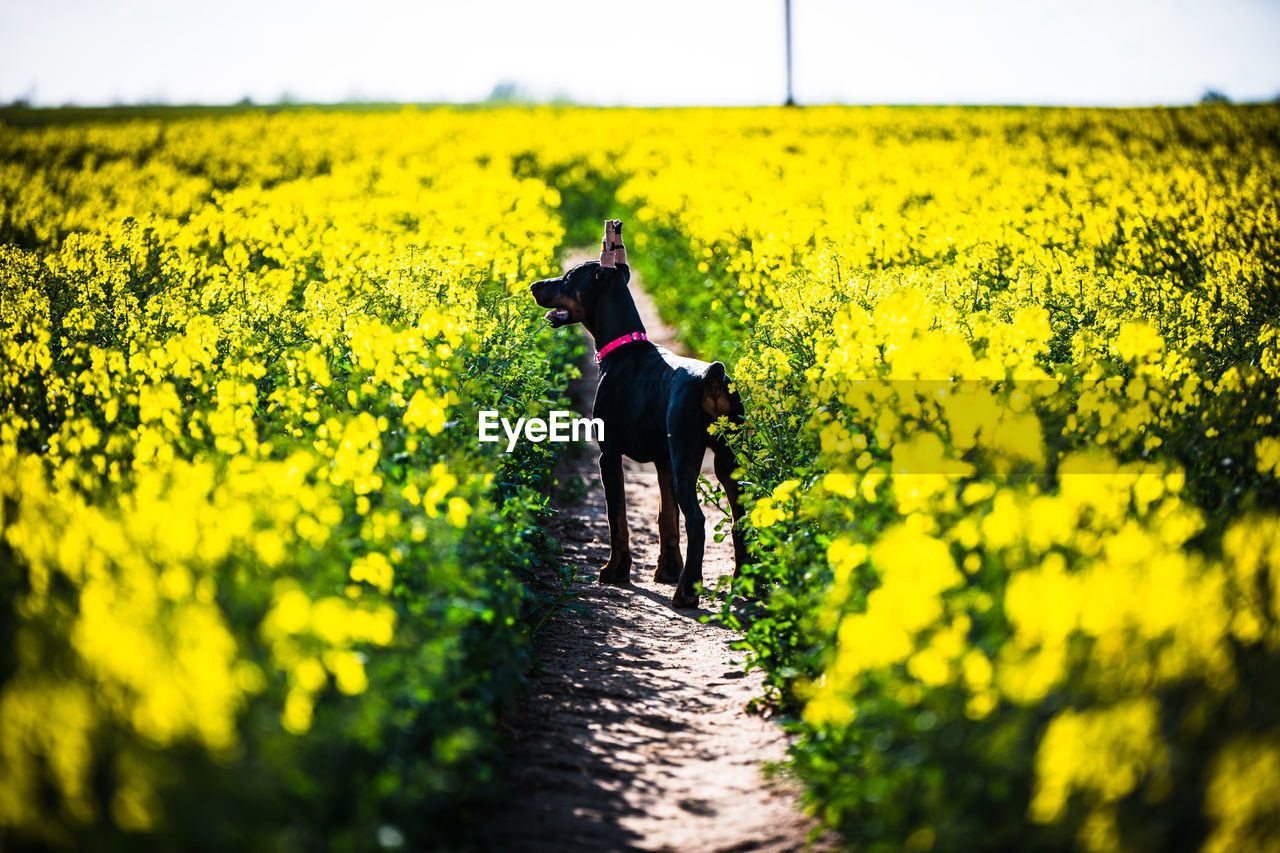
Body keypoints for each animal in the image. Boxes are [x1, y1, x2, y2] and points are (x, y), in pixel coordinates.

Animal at [529, 219, 747, 604]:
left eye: (568, 278)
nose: (533, 286)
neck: (623, 347)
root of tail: (713, 375)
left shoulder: (609, 454)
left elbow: (617, 518)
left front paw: (615, 572)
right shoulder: (662, 460)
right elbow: (665, 517)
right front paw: (666, 570)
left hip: (687, 454)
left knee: (697, 520)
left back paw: (687, 592)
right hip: (726, 459)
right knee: (740, 518)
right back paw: (747, 584)